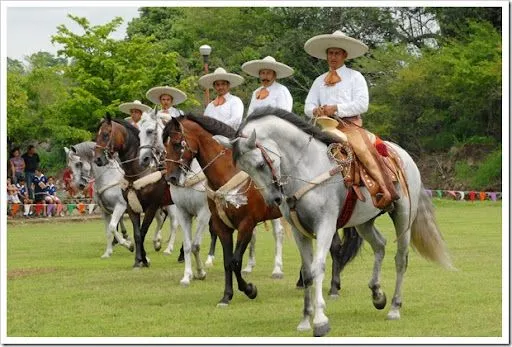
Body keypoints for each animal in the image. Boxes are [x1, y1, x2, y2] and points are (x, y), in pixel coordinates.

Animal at [95, 115, 175, 268]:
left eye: (106, 134)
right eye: (97, 135)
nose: (98, 159)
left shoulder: (151, 206)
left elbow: (143, 231)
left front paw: (142, 257)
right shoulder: (131, 207)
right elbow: (137, 234)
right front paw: (139, 260)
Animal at [162, 114, 362, 308]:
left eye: (177, 143)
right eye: (164, 146)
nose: (171, 178)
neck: (228, 176)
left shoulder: (246, 225)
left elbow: (235, 261)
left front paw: (250, 289)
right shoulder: (222, 227)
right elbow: (228, 262)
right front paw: (226, 296)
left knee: (335, 248)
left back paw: (334, 287)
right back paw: (303, 281)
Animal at [222, 106, 454, 338]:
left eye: (261, 164)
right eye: (245, 169)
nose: (273, 200)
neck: (308, 166)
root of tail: (404, 155)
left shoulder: (325, 225)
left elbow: (318, 267)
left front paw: (320, 321)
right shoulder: (300, 232)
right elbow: (307, 272)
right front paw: (305, 320)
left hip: (403, 216)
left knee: (400, 259)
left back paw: (395, 308)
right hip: (364, 222)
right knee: (380, 245)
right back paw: (377, 294)